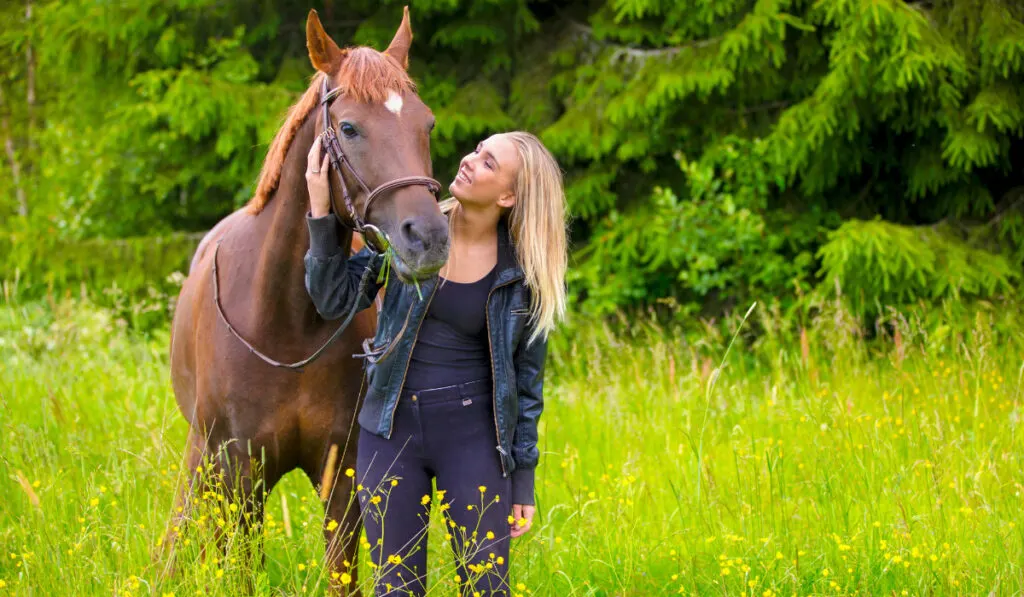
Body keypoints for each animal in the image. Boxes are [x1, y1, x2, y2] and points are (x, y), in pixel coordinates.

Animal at [167, 8, 448, 589]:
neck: (286, 322)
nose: (428, 237)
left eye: (426, 123)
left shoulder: (341, 475)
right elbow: (239, 570)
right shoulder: (240, 474)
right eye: (349, 127)